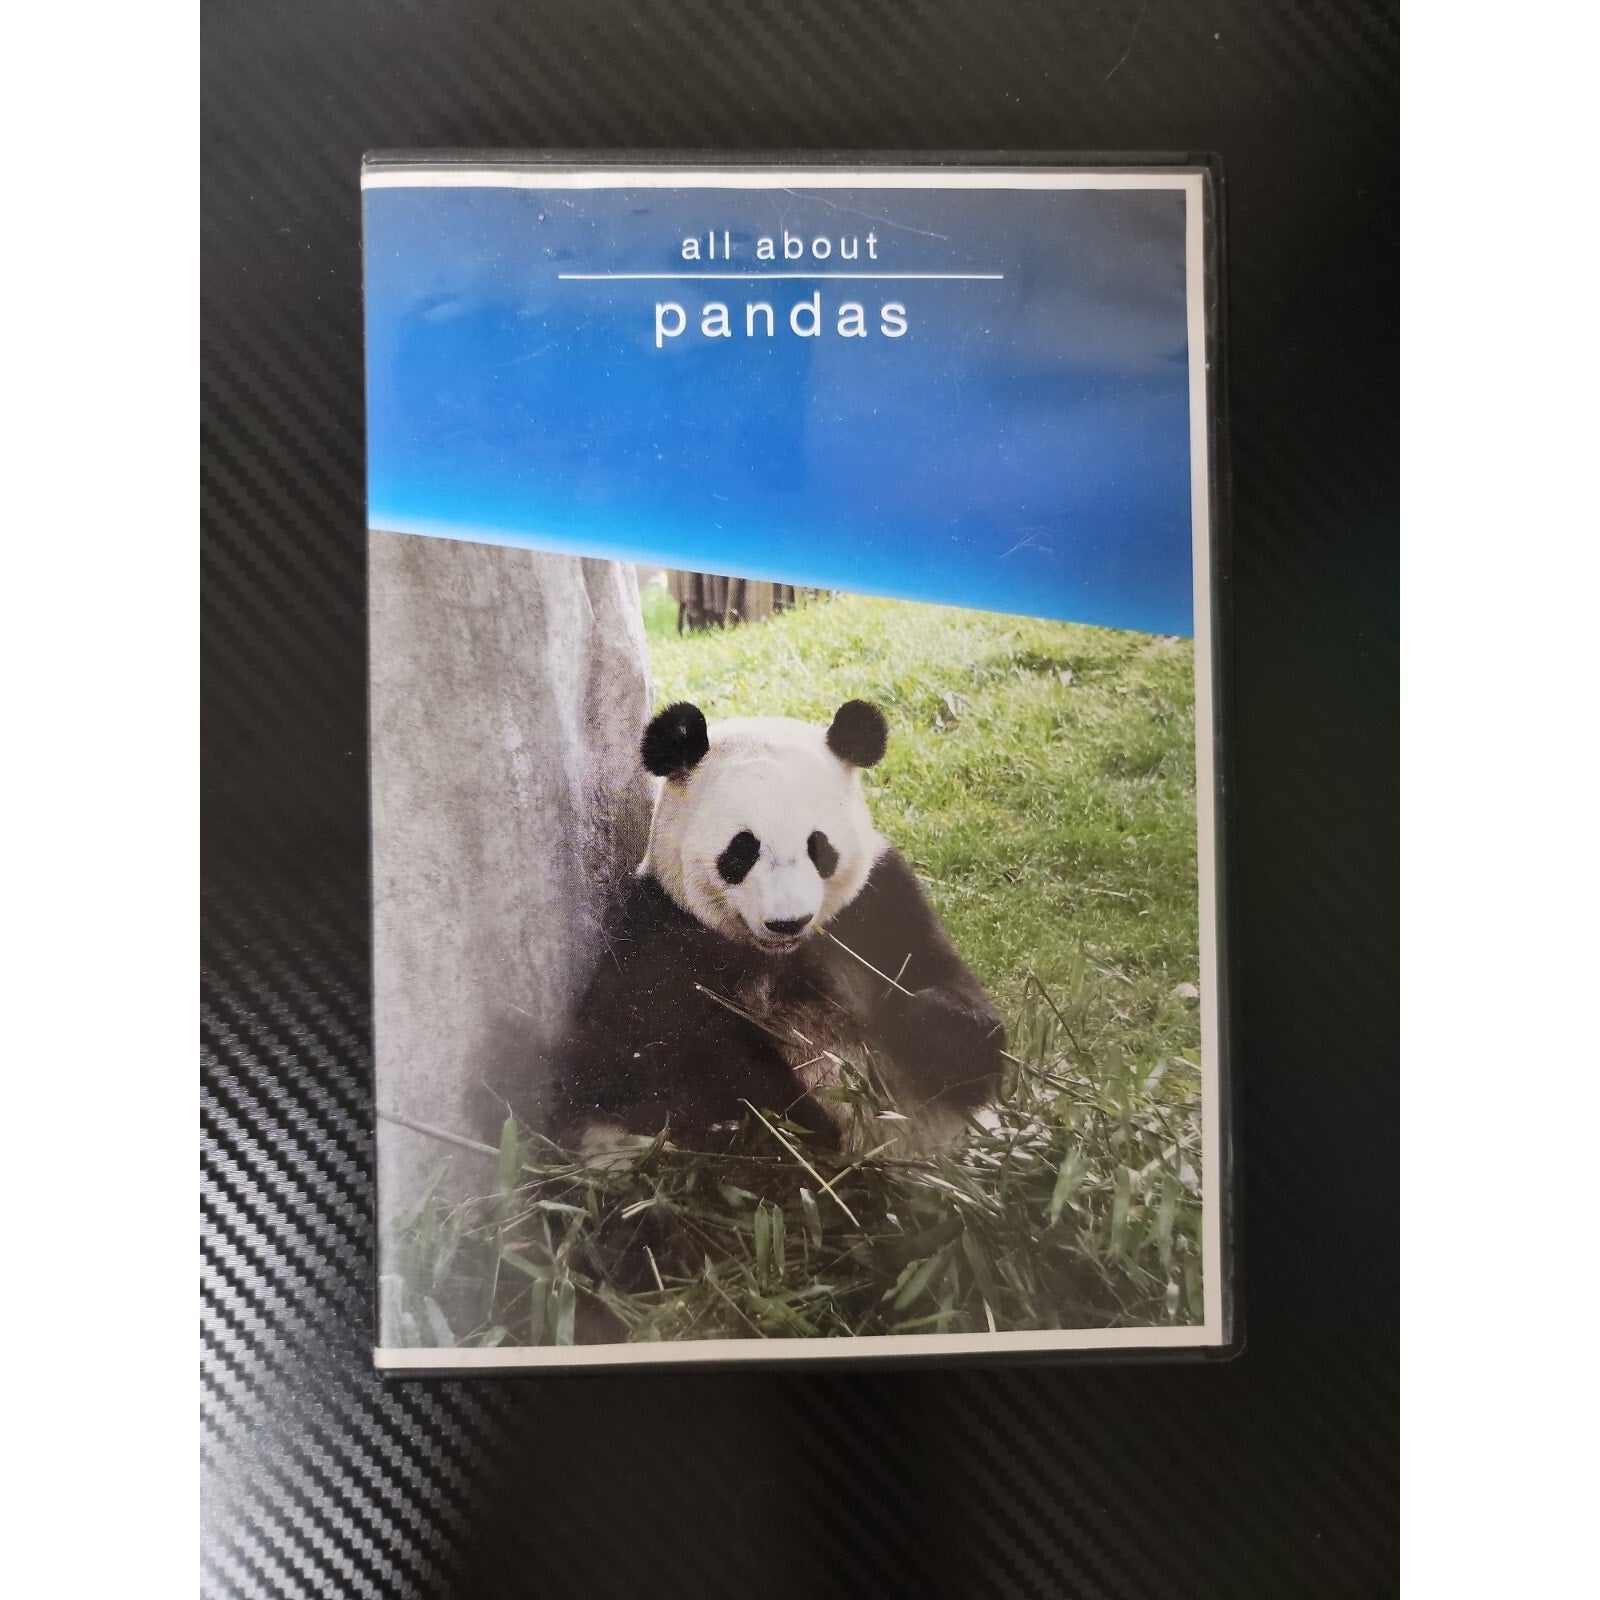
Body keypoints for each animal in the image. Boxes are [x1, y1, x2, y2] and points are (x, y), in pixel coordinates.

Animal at [549, 698, 1006, 1160]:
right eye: (741, 851)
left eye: (818, 847)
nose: (788, 921)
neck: (779, 955)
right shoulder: (660, 936)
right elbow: (635, 1066)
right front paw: (798, 1121)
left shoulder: (879, 907)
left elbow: (951, 1000)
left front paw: (922, 1022)